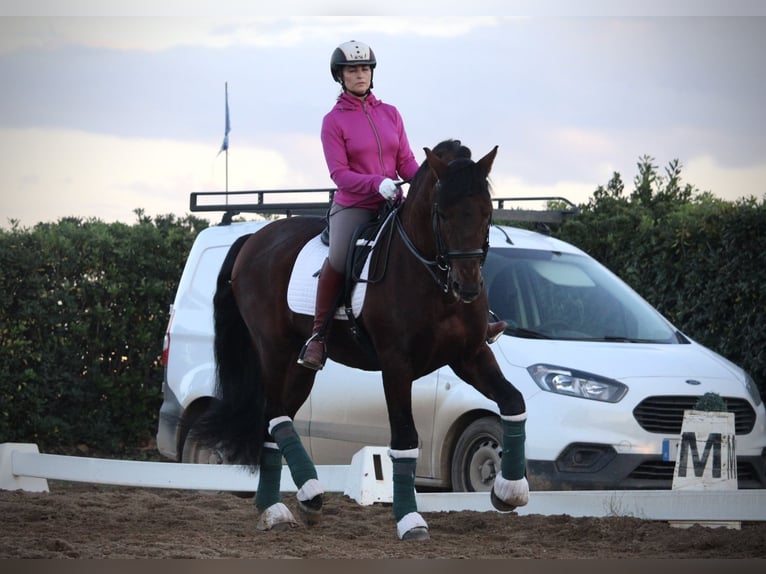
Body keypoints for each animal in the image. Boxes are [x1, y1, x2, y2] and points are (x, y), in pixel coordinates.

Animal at [194, 141, 528, 544]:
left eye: (486, 212)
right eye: (441, 214)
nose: (467, 286)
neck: (433, 281)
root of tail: (252, 239)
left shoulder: (470, 355)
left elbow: (513, 401)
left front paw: (509, 491)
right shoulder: (396, 364)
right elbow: (405, 438)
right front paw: (410, 520)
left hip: (301, 366)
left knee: (277, 419)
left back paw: (280, 506)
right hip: (273, 350)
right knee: (273, 413)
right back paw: (299, 496)